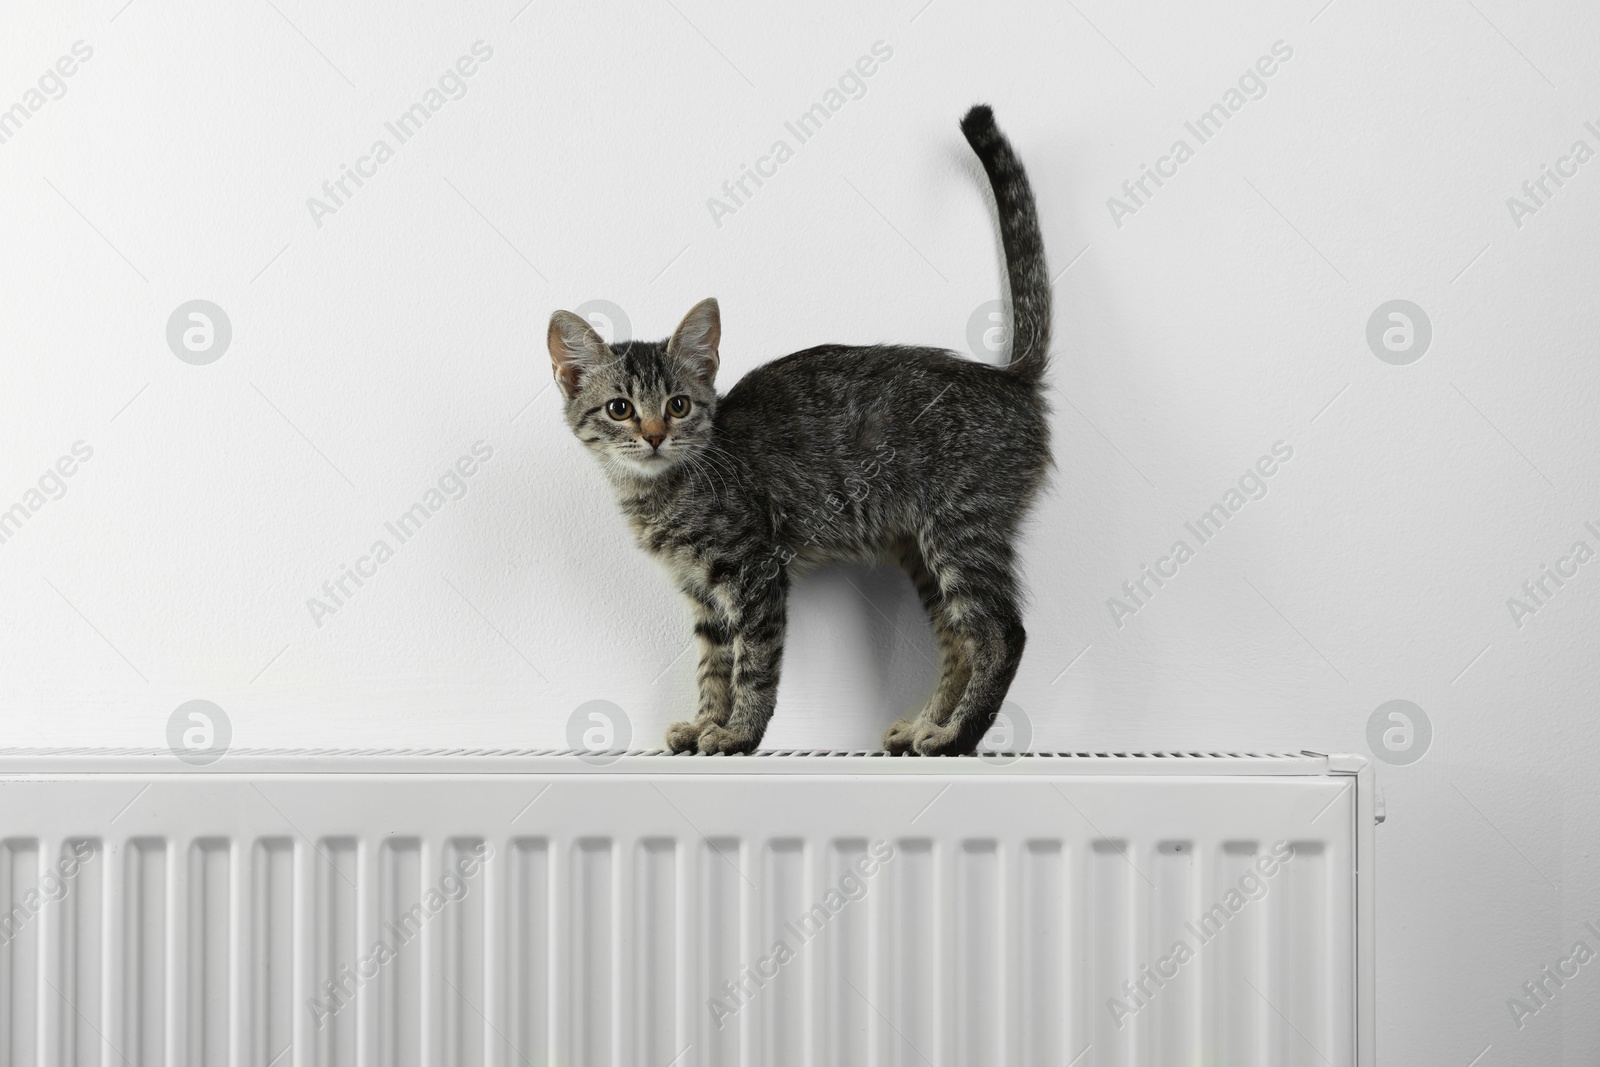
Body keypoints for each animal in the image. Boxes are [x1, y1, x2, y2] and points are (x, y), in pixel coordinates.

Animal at [550, 106, 1049, 758]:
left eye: (679, 405)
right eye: (619, 409)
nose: (655, 434)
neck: (659, 490)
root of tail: (1005, 378)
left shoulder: (754, 571)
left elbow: (753, 663)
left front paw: (738, 733)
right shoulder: (703, 592)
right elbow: (714, 665)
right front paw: (704, 723)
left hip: (962, 528)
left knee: (1000, 633)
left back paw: (955, 738)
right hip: (923, 550)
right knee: (959, 640)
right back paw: (928, 724)